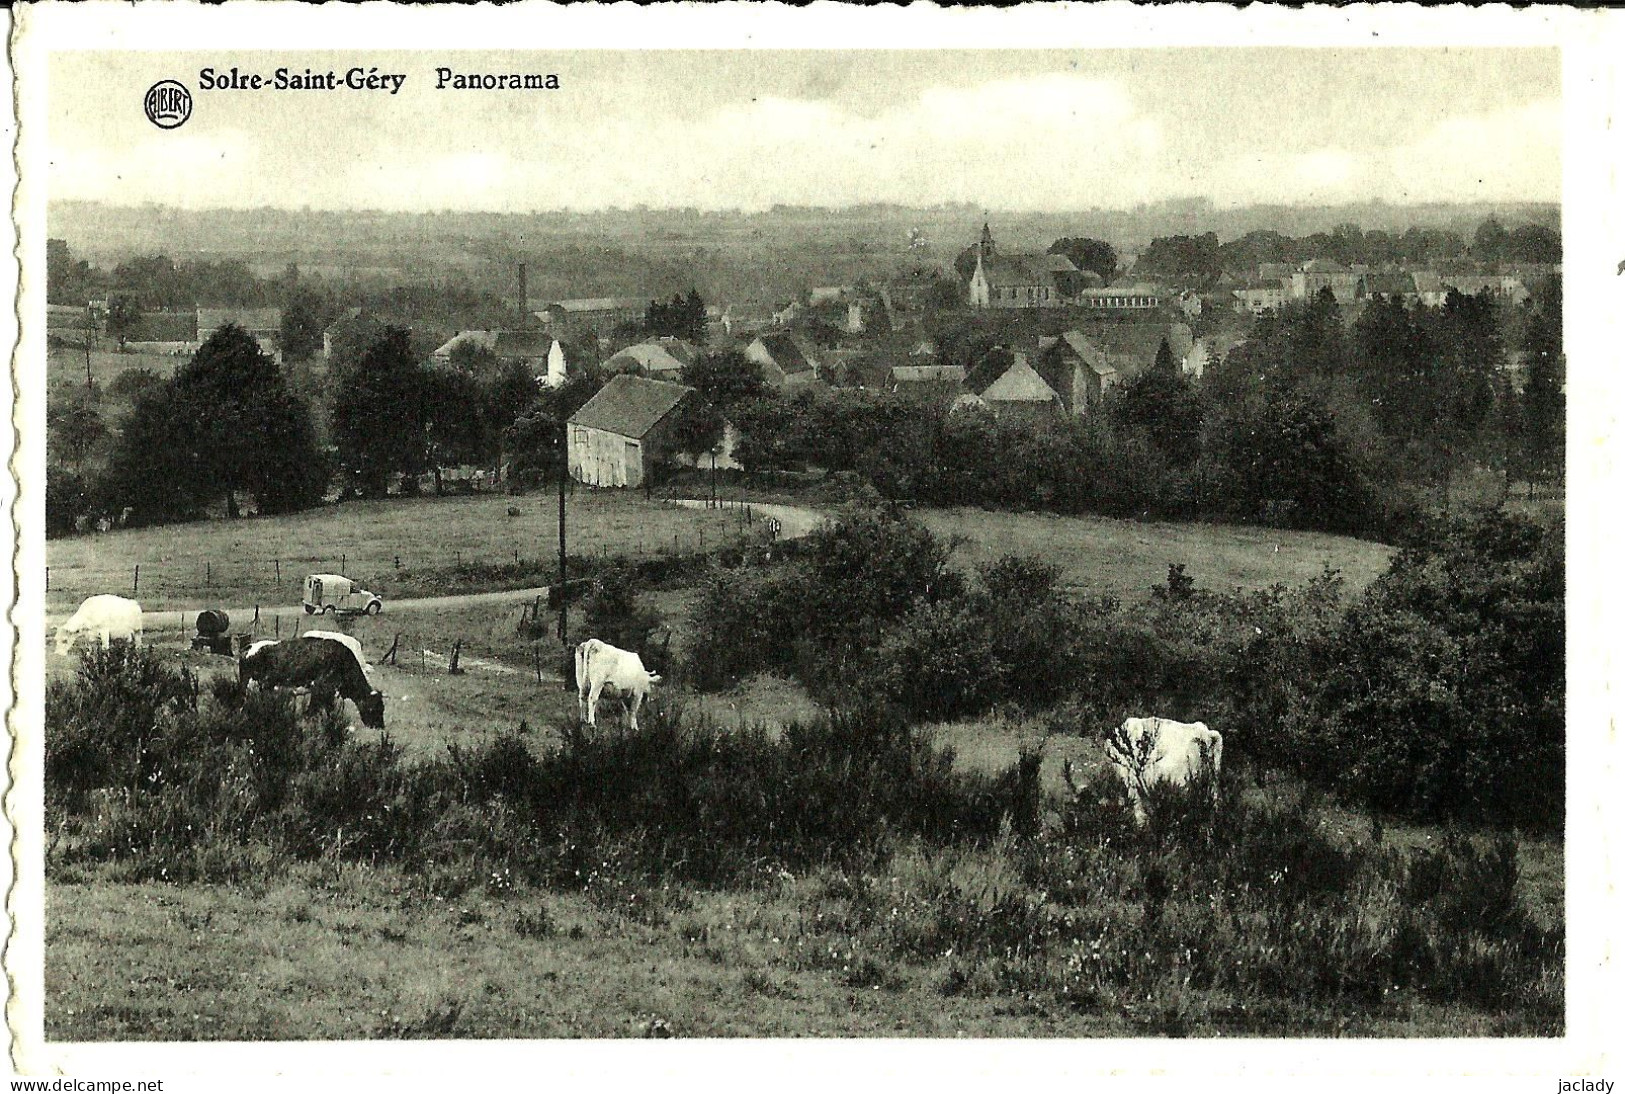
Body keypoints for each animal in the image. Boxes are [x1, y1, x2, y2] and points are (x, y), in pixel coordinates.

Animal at [238, 630, 385, 724]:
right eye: (375, 707)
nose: (379, 726)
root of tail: (249, 646)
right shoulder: (321, 689)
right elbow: (314, 711)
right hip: (251, 686)